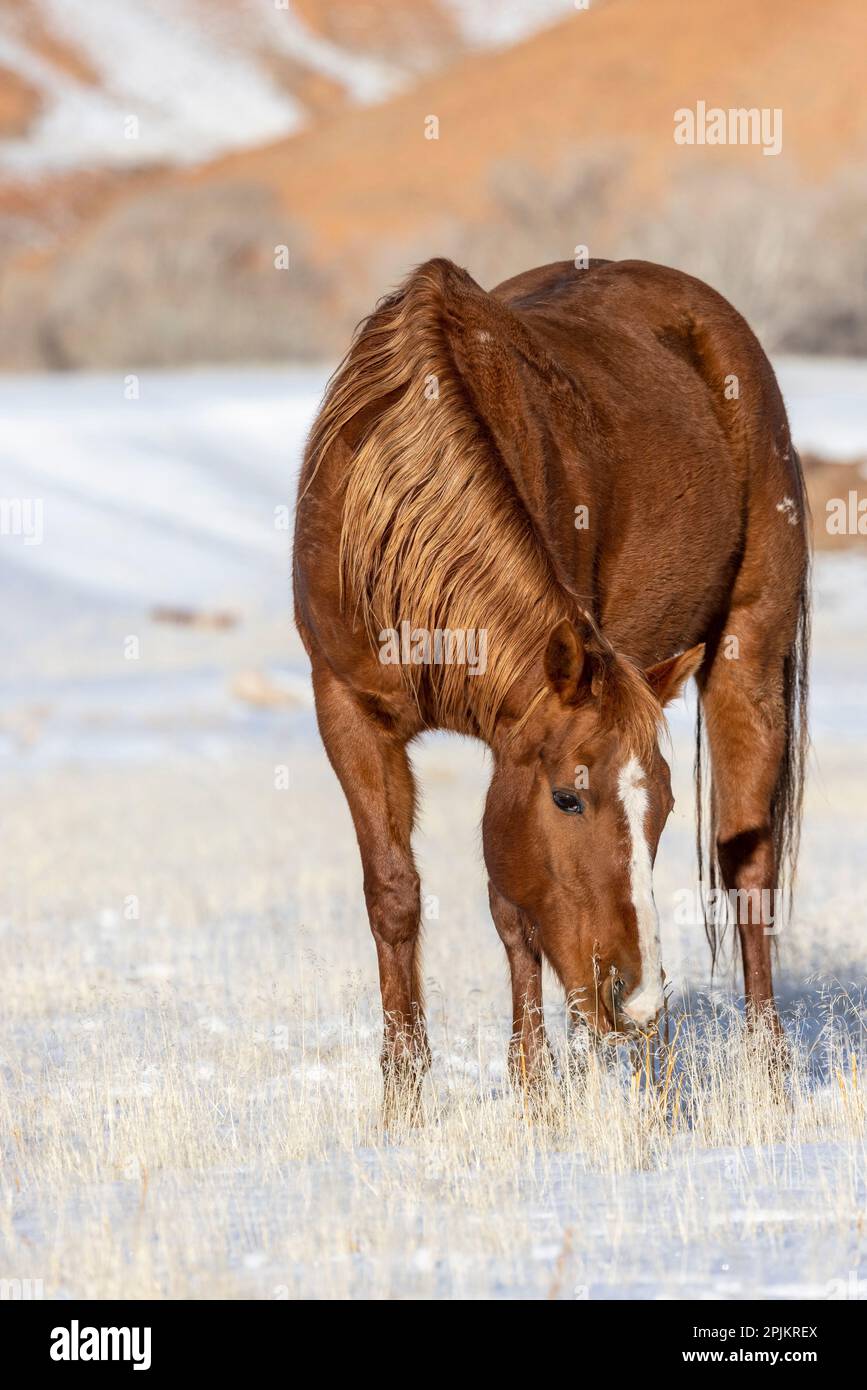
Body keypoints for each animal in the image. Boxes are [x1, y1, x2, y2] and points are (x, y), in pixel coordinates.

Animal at [294, 258, 811, 1106]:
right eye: (568, 799)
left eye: (665, 806)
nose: (636, 1002)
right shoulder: (347, 707)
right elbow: (394, 893)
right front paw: (403, 1097)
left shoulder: (516, 734)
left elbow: (511, 908)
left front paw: (533, 1087)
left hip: (748, 661)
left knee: (748, 868)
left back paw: (759, 1071)